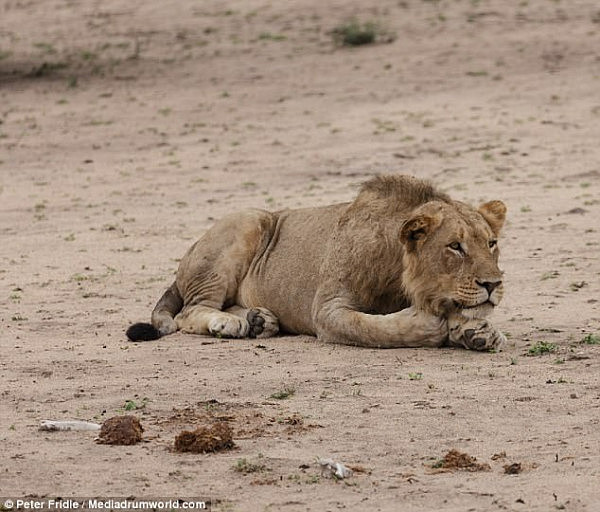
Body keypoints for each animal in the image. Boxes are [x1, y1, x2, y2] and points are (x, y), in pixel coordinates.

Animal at [126, 174, 506, 350]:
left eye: (491, 243)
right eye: (455, 246)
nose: (493, 285)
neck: (398, 275)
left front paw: (476, 331)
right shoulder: (326, 310)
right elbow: (371, 328)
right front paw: (426, 325)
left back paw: (258, 321)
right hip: (247, 220)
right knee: (189, 311)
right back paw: (230, 323)